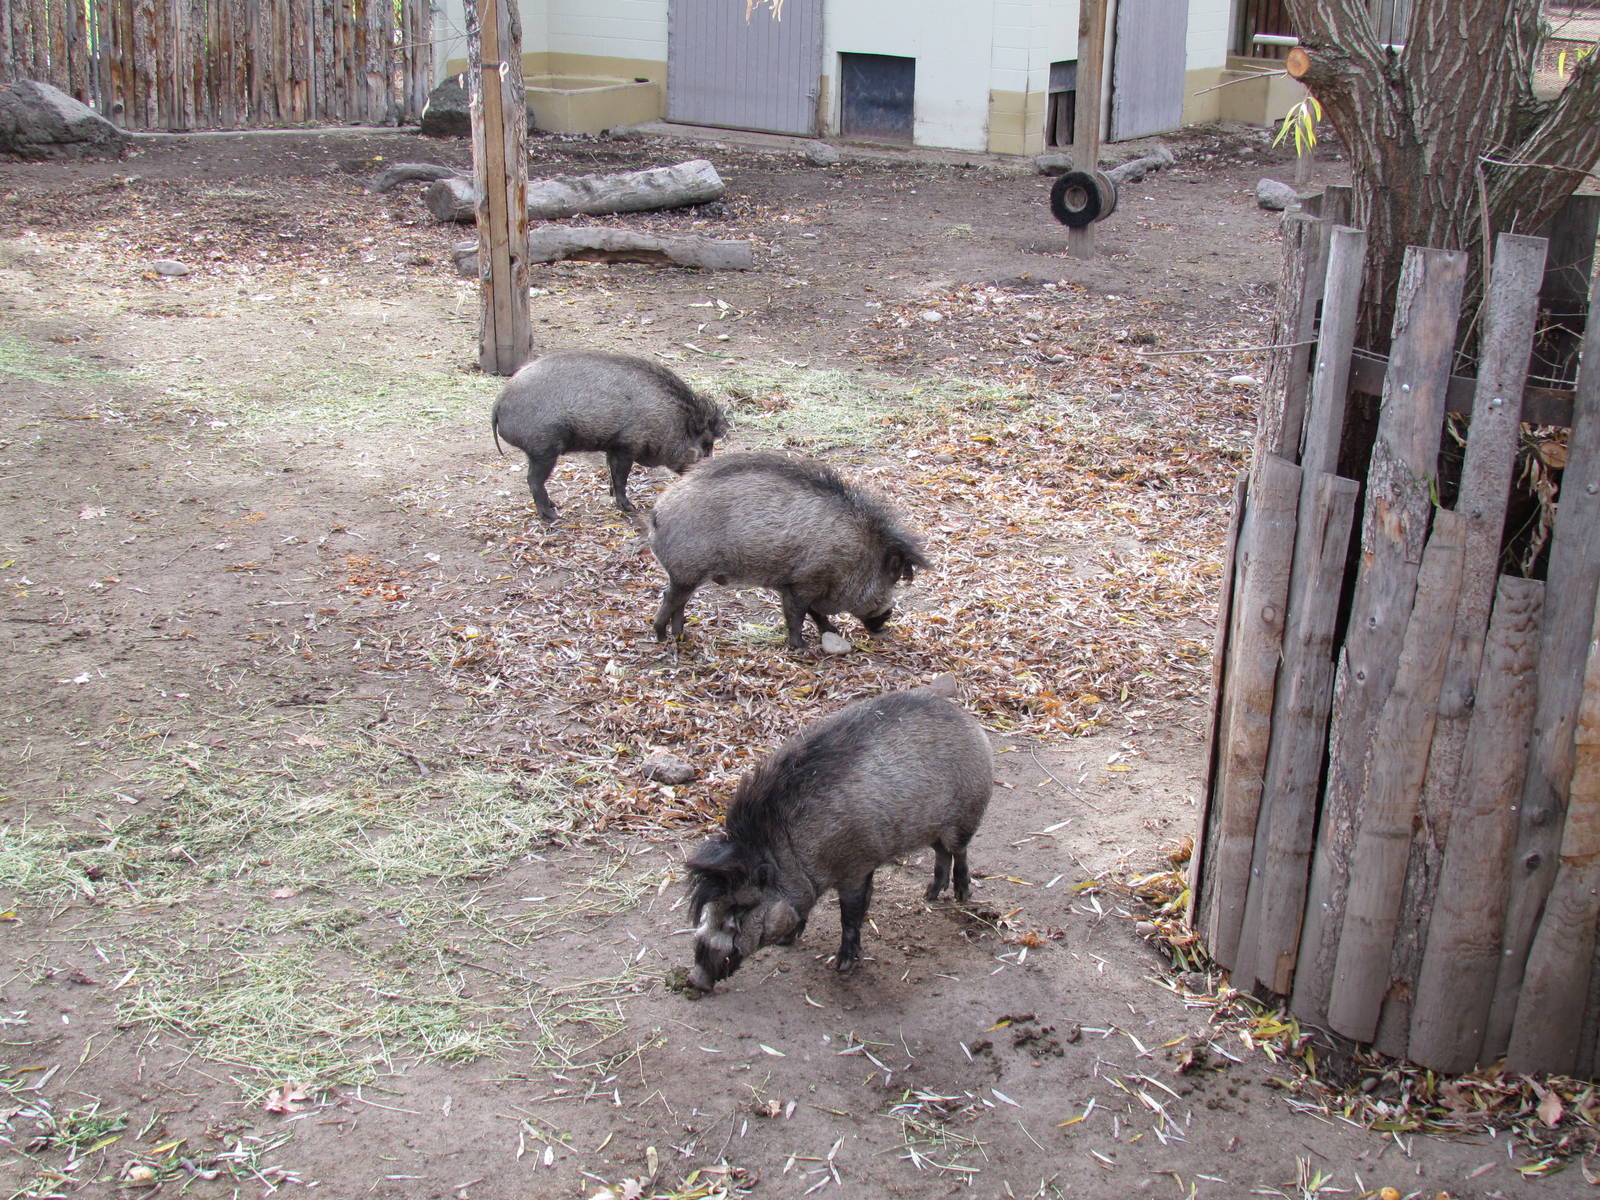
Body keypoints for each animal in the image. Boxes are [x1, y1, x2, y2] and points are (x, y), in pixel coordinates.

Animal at [490, 350, 727, 521]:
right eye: (706, 445)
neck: (667, 420)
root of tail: (499, 402)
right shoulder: (626, 446)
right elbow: (621, 477)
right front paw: (631, 508)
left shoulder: (612, 446)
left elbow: (612, 474)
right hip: (544, 449)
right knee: (533, 481)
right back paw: (552, 516)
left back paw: (554, 507)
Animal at [648, 452, 927, 650]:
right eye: (890, 580)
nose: (885, 625)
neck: (853, 557)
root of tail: (657, 513)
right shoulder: (803, 582)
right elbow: (797, 615)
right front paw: (801, 648)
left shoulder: (799, 586)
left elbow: (814, 613)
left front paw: (832, 632)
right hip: (687, 570)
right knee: (670, 597)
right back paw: (662, 637)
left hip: (689, 575)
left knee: (679, 602)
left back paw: (681, 637)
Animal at [684, 689, 993, 992]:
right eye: (710, 909)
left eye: (740, 911)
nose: (696, 981)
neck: (790, 851)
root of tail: (967, 719)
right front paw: (786, 942)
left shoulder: (855, 868)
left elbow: (851, 915)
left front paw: (842, 966)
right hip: (931, 829)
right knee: (942, 853)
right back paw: (929, 895)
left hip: (966, 816)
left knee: (960, 852)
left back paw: (962, 895)